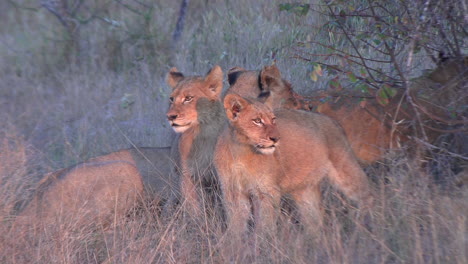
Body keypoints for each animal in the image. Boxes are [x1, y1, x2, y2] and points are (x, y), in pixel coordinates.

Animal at [166, 64, 227, 217]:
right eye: (171, 99)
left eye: (188, 98)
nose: (170, 116)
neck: (203, 133)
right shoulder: (187, 175)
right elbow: (194, 208)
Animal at [213, 94, 372, 234]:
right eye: (257, 120)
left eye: (273, 119)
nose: (276, 138)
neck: (240, 151)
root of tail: (334, 121)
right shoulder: (233, 191)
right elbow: (236, 224)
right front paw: (236, 246)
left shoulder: (267, 192)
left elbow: (265, 225)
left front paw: (263, 245)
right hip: (305, 190)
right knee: (315, 221)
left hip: (346, 171)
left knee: (368, 196)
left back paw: (366, 229)